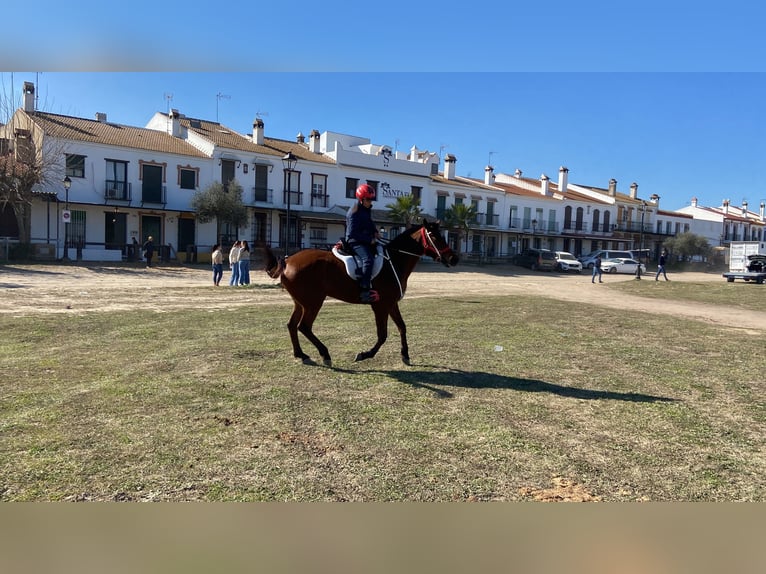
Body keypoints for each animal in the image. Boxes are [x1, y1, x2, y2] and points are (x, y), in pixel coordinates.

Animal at [262, 219, 459, 366]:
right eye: (434, 236)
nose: (454, 258)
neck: (394, 261)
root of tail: (288, 261)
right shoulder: (380, 306)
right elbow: (382, 335)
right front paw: (365, 354)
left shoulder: (391, 304)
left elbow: (402, 327)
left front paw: (405, 355)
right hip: (313, 303)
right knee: (304, 327)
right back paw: (325, 354)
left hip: (301, 303)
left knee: (292, 325)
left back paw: (301, 354)